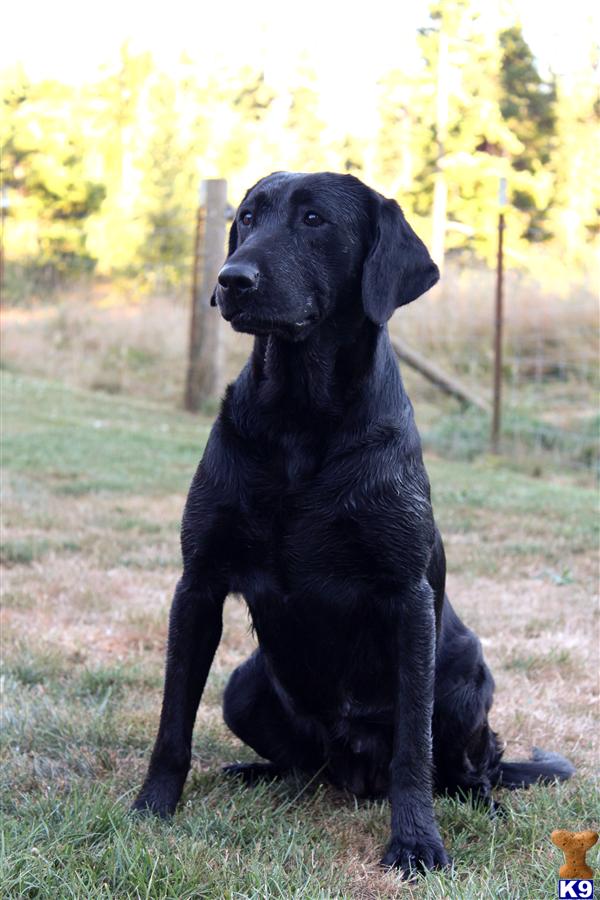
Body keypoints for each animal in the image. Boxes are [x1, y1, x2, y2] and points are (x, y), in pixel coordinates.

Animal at [134, 169, 576, 872]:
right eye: (247, 217)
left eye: (314, 219)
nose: (232, 279)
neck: (299, 417)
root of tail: (352, 771)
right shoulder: (197, 584)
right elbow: (173, 720)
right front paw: (152, 808)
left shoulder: (407, 599)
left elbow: (413, 750)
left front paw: (416, 842)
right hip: (245, 684)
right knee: (304, 766)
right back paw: (259, 774)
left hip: (466, 674)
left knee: (472, 766)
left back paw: (484, 804)